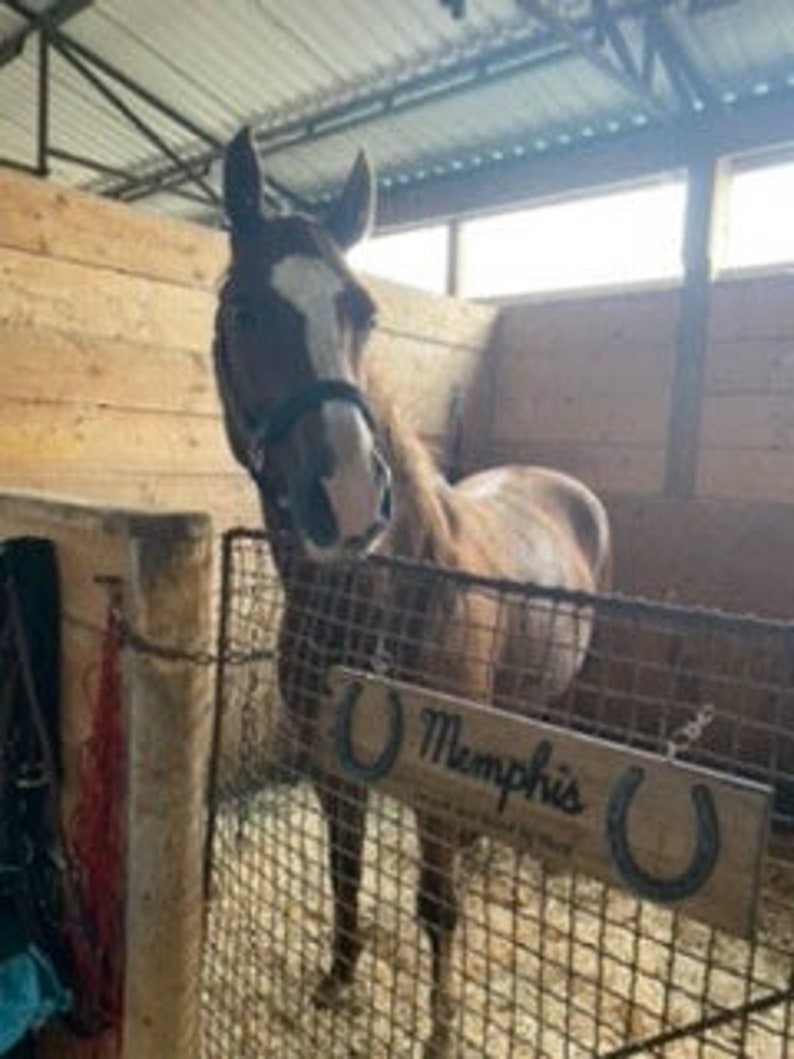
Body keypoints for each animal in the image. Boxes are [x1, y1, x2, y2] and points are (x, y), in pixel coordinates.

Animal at [211, 128, 609, 1054]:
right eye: (244, 311)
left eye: (365, 311)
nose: (352, 501)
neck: (384, 601)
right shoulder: (328, 763)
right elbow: (345, 869)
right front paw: (337, 978)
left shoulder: (431, 779)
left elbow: (436, 904)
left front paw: (441, 1028)